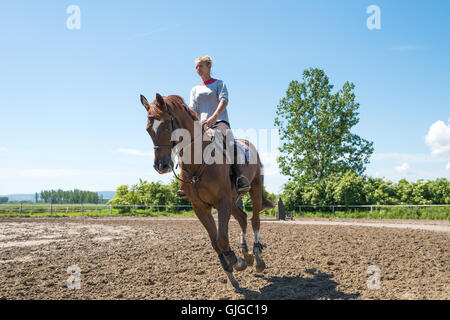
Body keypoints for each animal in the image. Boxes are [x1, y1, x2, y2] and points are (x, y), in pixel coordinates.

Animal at [140, 92, 274, 288]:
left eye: (165, 125)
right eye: (149, 129)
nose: (161, 166)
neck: (198, 164)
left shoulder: (222, 201)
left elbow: (222, 238)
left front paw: (237, 263)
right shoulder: (200, 206)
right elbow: (215, 242)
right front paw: (230, 271)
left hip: (254, 189)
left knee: (255, 221)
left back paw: (257, 258)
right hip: (232, 200)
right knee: (242, 218)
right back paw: (246, 254)